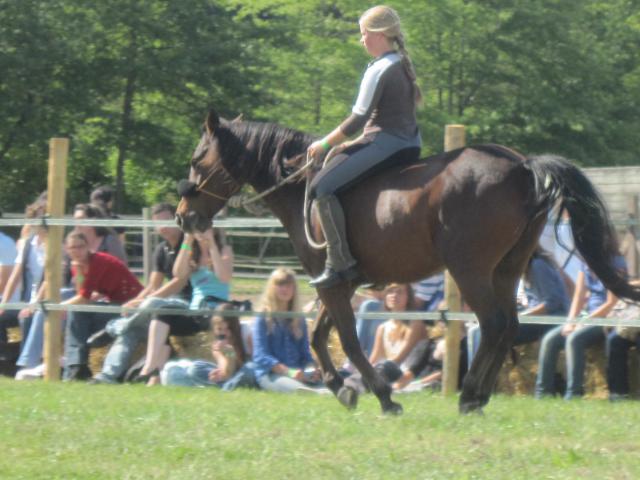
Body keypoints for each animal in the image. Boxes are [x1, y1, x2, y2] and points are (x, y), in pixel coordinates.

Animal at [176, 110, 640, 414]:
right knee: (507, 325)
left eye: (198, 160)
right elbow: (319, 336)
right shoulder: (337, 282)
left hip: (470, 270)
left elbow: (346, 339)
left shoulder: (332, 283)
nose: (184, 217)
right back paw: (480, 395)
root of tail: (522, 166)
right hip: (506, 269)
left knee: (492, 324)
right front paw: (341, 389)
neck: (301, 187)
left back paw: (469, 395)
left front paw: (382, 395)